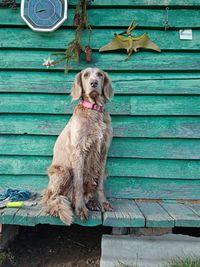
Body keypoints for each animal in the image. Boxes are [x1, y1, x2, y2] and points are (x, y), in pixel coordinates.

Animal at [41, 68, 114, 225]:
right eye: (86, 75)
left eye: (100, 74)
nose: (94, 83)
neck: (94, 110)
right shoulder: (79, 151)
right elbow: (78, 184)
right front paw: (81, 209)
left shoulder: (103, 151)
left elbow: (99, 185)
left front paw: (103, 203)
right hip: (63, 171)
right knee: (51, 197)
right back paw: (57, 207)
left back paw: (91, 203)